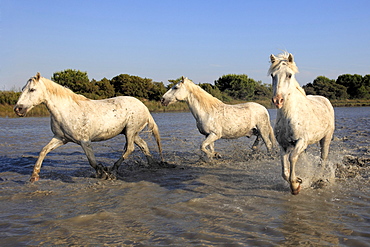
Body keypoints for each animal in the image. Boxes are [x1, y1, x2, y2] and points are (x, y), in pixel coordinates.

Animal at [14, 71, 162, 181]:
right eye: (23, 89)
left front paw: (103, 172)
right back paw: (151, 165)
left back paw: (113, 169)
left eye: (32, 90)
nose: (18, 109)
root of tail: (144, 107)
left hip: (131, 131)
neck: (66, 110)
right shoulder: (61, 138)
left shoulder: (84, 141)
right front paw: (34, 176)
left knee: (130, 149)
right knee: (143, 146)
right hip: (130, 133)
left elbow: (92, 161)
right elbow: (43, 151)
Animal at [268, 52, 336, 195]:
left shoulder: (301, 141)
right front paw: (298, 180)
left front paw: (295, 185)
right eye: (272, 75)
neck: (288, 115)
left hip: (326, 138)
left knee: (323, 159)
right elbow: (284, 169)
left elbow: (292, 158)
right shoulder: (283, 145)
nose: (278, 100)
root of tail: (324, 100)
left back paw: (318, 179)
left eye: (289, 75)